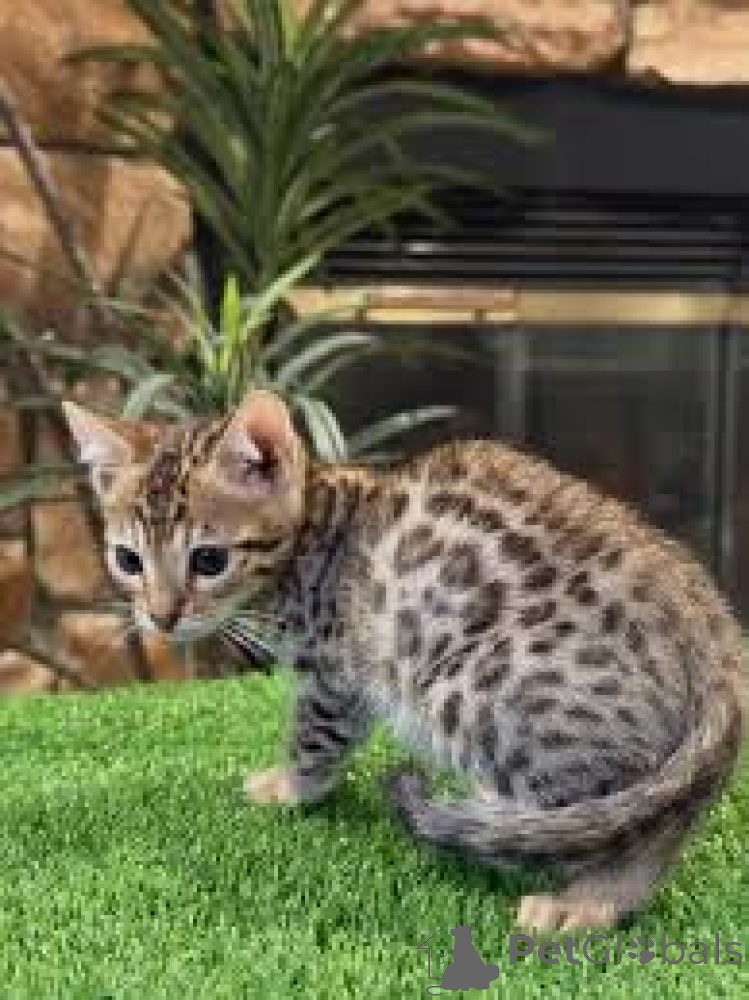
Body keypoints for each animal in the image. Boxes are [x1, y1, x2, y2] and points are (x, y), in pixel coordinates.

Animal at [62, 388, 744, 930]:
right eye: (127, 559)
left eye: (210, 559)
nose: (161, 617)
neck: (317, 531)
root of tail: (717, 642)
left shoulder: (335, 674)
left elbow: (313, 740)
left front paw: (289, 788)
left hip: (474, 688)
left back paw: (587, 898)